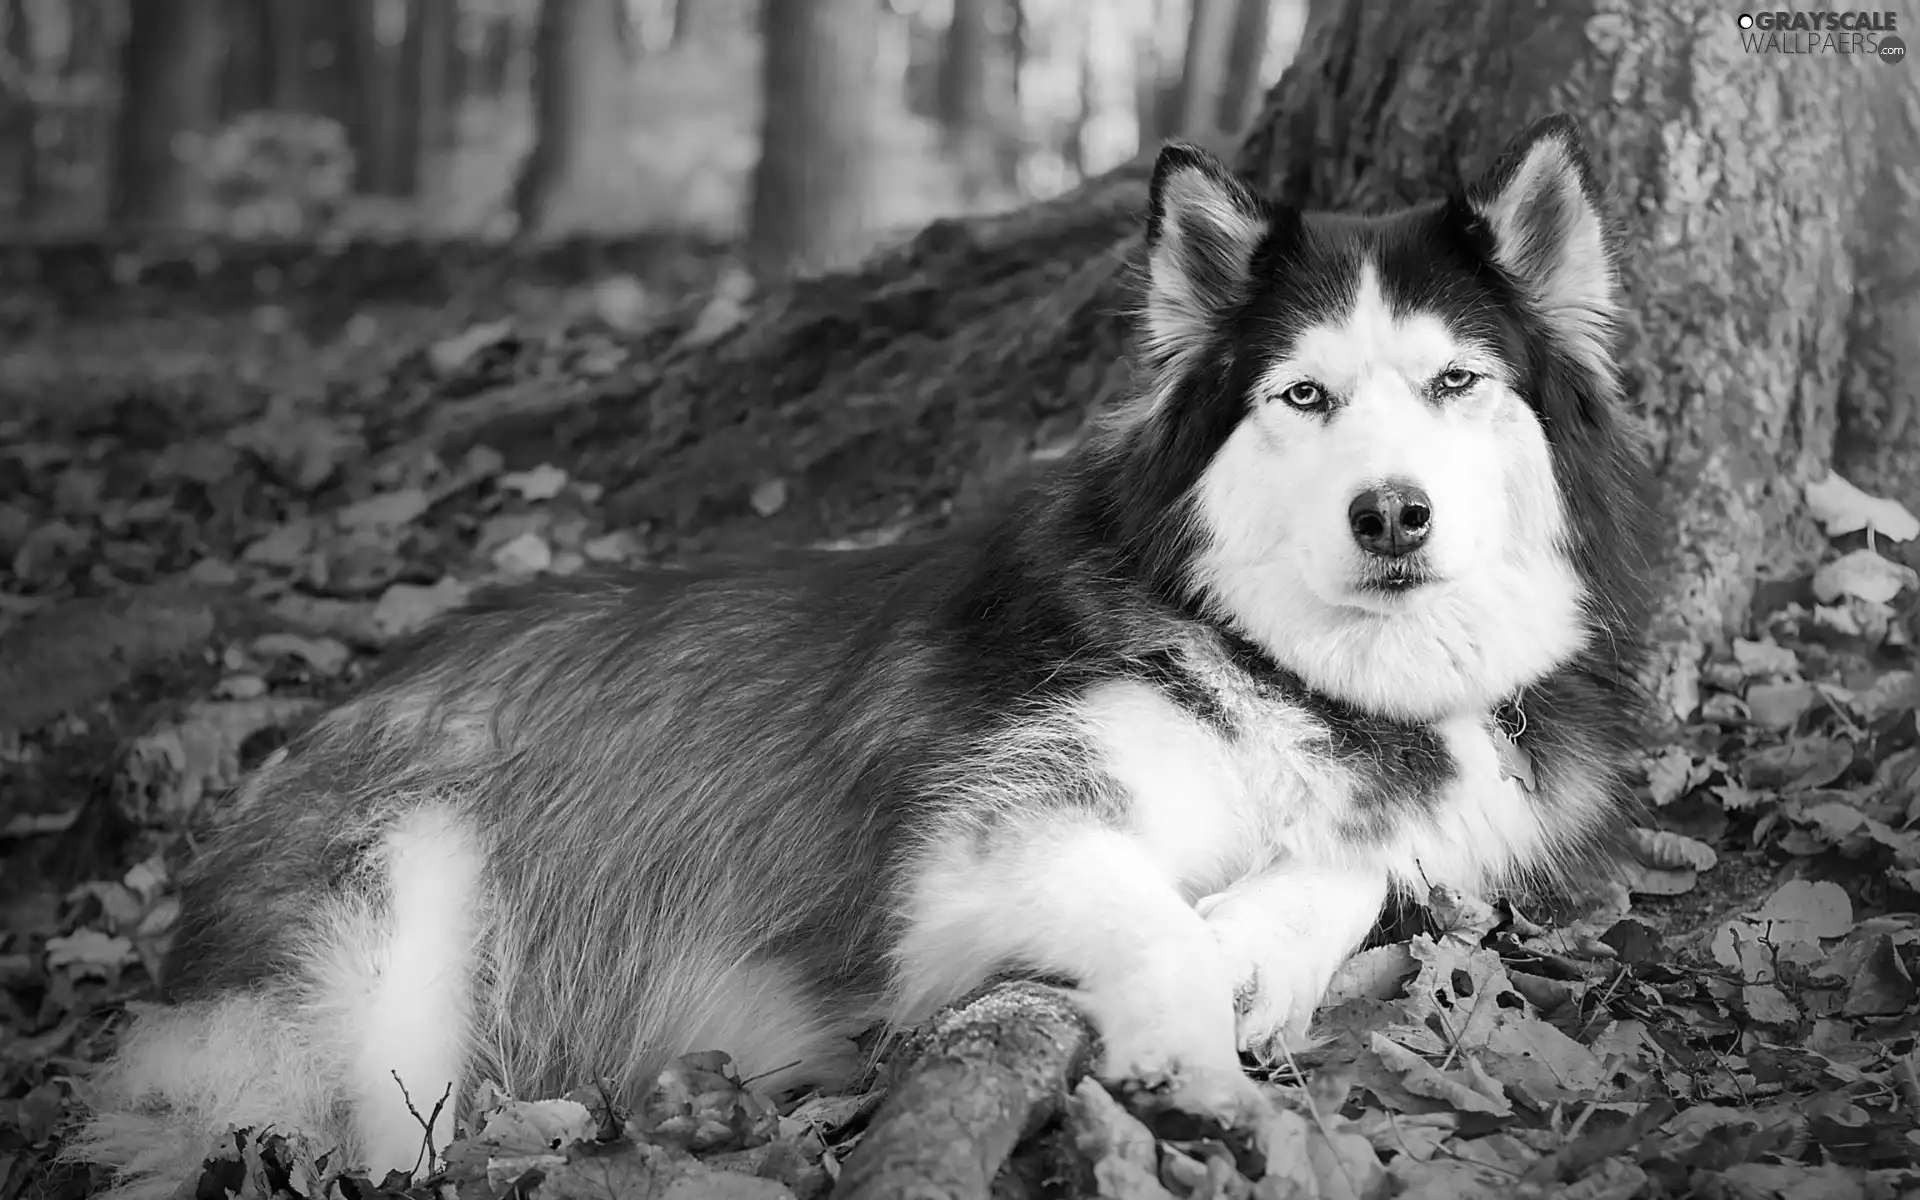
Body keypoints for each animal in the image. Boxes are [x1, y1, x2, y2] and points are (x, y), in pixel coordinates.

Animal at [71, 114, 1651, 1198]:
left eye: (1456, 381)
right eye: (1304, 396)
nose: (1392, 514)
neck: (1294, 668)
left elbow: (1361, 863)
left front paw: (1262, 939)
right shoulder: (980, 848)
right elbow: (1147, 917)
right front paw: (1196, 1044)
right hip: (385, 938)